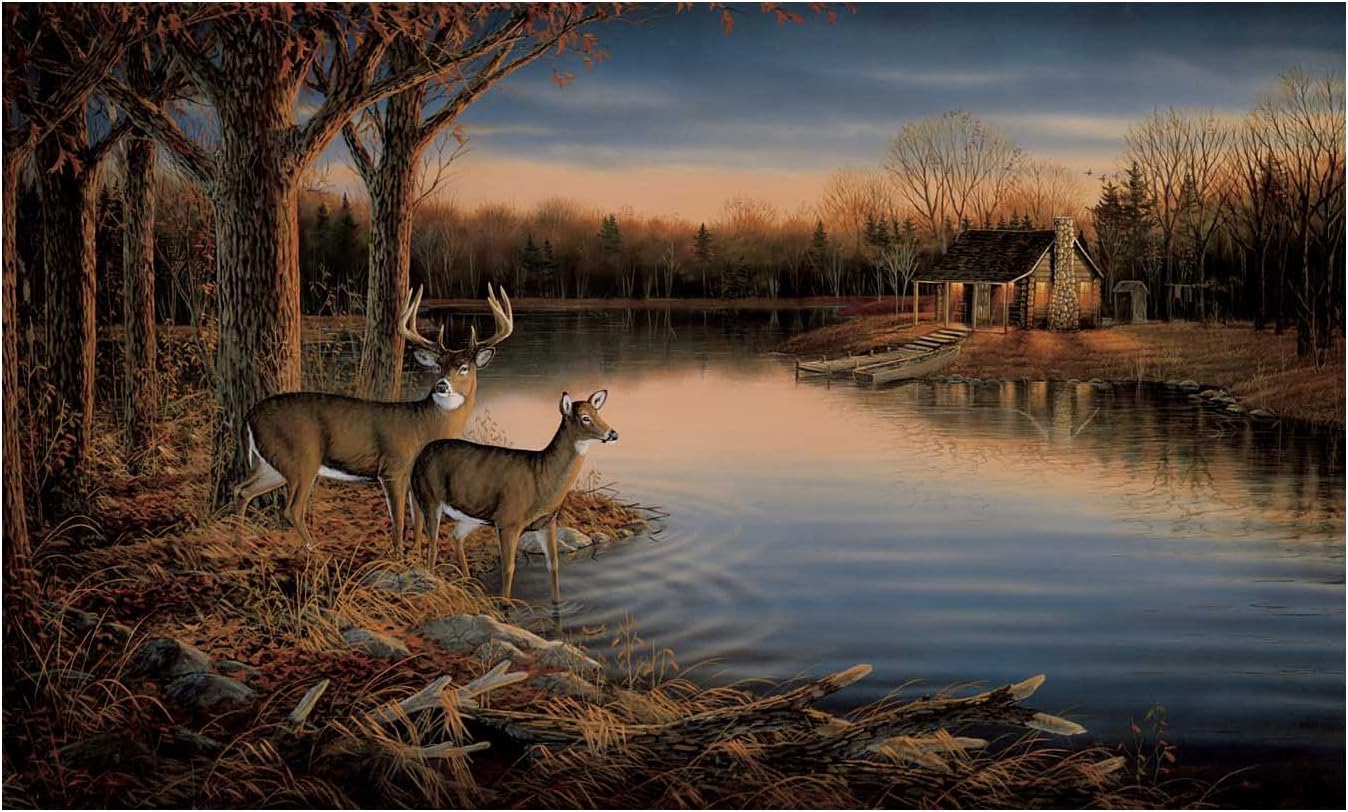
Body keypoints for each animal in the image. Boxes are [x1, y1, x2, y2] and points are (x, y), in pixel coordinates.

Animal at [233, 284, 514, 554]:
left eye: (464, 367)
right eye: (439, 366)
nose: (441, 385)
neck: (425, 427)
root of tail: (249, 415)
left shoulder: (414, 478)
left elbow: (417, 520)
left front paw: (416, 554)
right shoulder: (393, 468)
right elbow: (399, 521)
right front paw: (399, 556)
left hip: (272, 463)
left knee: (242, 490)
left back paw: (239, 542)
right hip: (302, 457)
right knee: (292, 509)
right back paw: (316, 552)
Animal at [409, 390, 619, 604]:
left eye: (598, 412)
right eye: (585, 418)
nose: (613, 434)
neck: (542, 477)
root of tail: (419, 455)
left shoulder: (547, 522)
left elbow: (553, 564)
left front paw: (557, 603)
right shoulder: (508, 522)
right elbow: (508, 568)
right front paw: (505, 605)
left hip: (472, 516)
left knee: (455, 537)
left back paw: (470, 585)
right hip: (429, 498)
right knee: (432, 543)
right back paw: (433, 581)